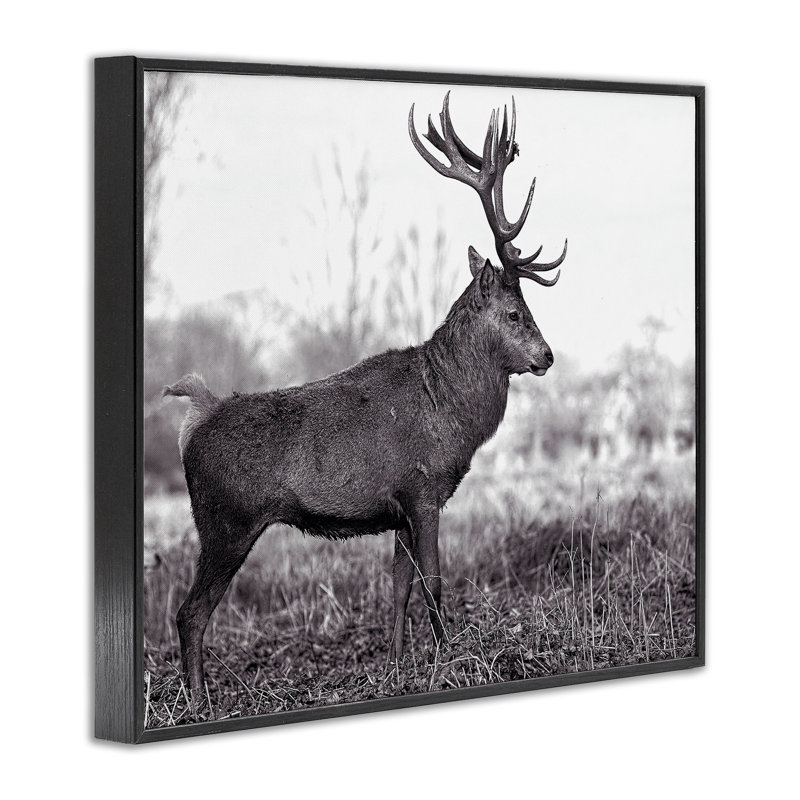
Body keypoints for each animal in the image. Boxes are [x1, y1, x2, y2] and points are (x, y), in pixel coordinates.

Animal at [163, 92, 567, 706]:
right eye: (516, 312)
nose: (547, 356)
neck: (450, 412)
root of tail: (194, 416)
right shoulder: (424, 491)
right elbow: (433, 583)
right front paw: (450, 658)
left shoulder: (396, 507)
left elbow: (398, 587)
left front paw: (397, 667)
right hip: (225, 520)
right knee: (189, 613)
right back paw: (199, 701)